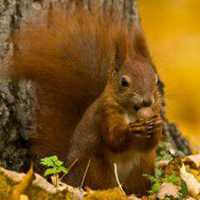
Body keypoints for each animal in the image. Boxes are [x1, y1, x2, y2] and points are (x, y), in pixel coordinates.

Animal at [9, 7, 162, 195]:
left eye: (156, 80)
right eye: (124, 82)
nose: (148, 101)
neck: (132, 112)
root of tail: (67, 176)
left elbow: (150, 145)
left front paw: (157, 125)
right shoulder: (105, 113)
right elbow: (114, 139)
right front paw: (133, 130)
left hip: (142, 169)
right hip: (95, 168)